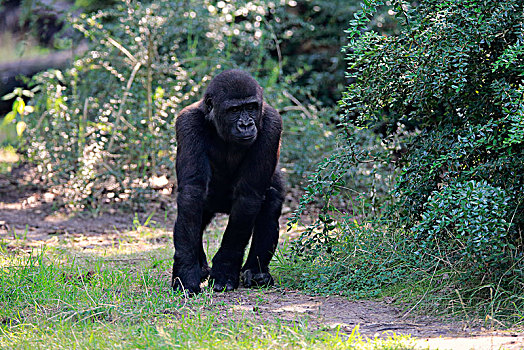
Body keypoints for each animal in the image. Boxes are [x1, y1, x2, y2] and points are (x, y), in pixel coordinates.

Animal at [173, 69, 284, 296]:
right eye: (234, 110)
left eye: (250, 107)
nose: (246, 124)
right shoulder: (188, 123)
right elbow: (191, 193)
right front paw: (186, 272)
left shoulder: (272, 124)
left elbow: (248, 197)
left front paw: (225, 267)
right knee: (197, 214)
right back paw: (200, 267)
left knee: (270, 200)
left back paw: (256, 272)